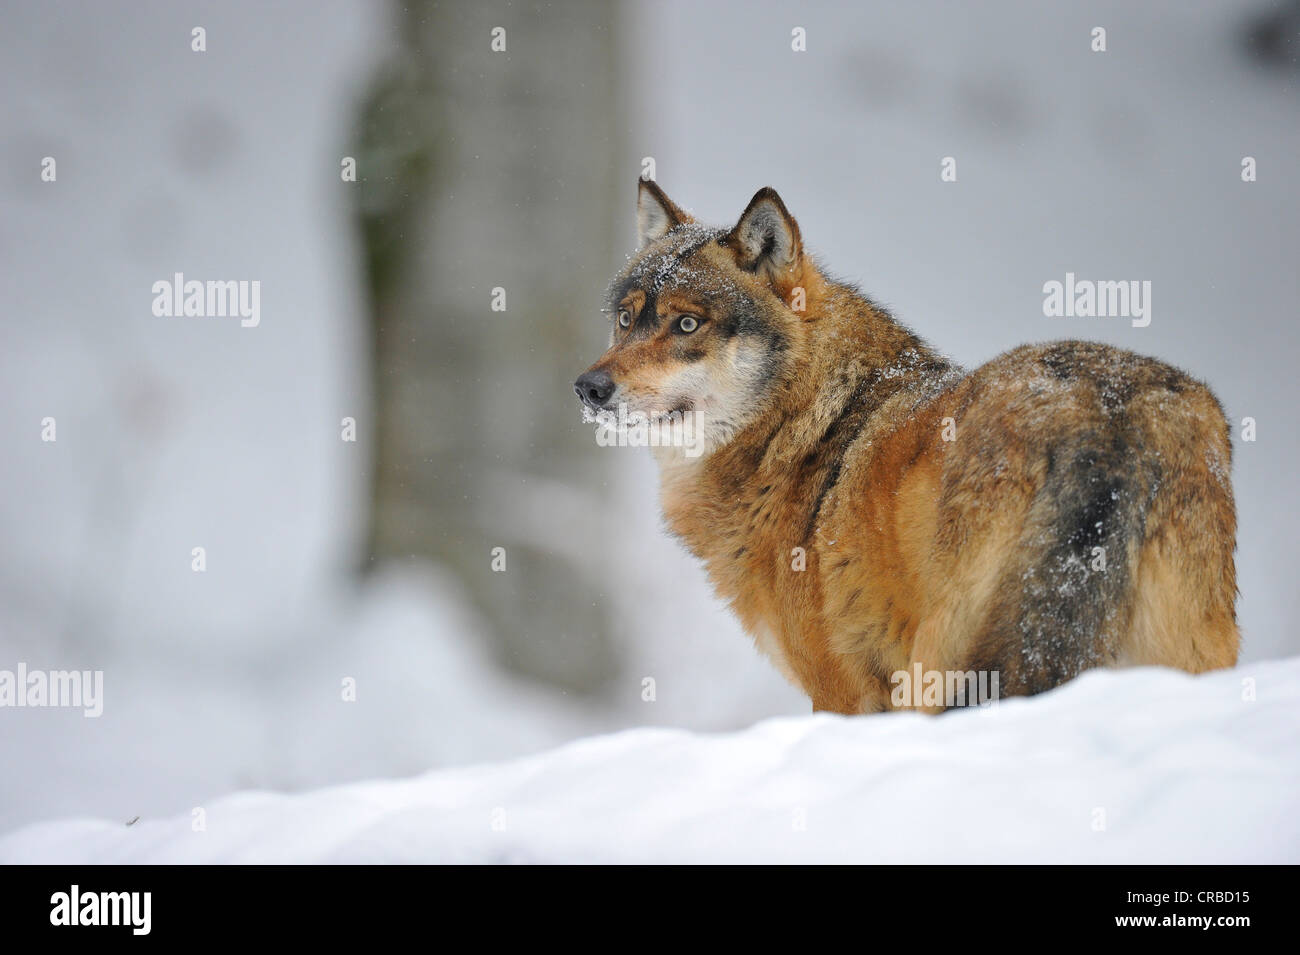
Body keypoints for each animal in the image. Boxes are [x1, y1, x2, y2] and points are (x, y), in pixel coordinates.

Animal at [577, 183, 1237, 712]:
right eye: (626, 319)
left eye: (687, 325)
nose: (588, 387)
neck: (804, 428)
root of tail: (1104, 413)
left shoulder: (841, 697)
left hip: (942, 668)